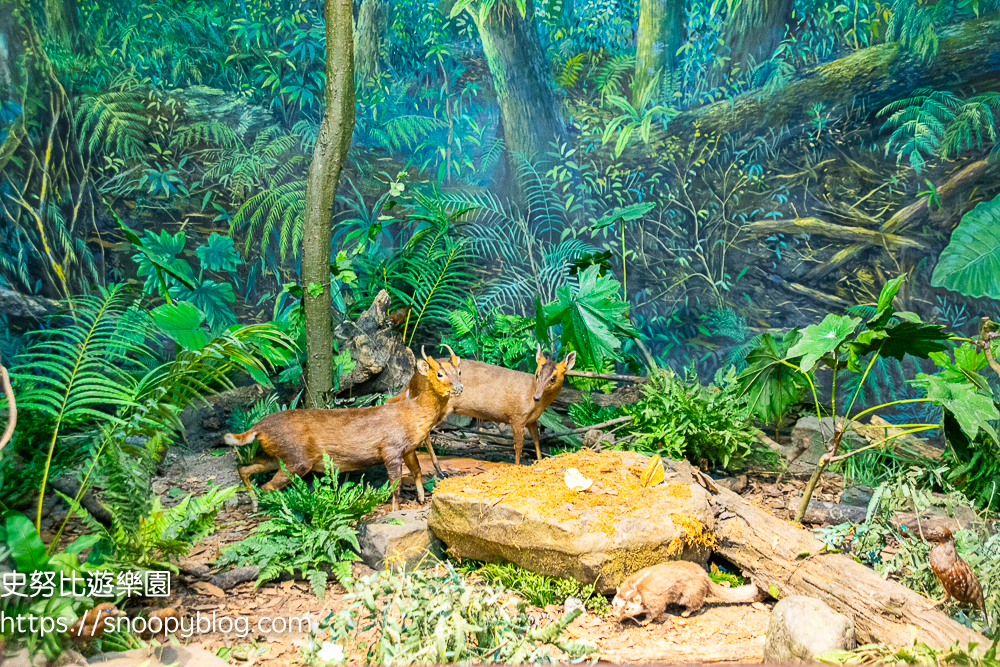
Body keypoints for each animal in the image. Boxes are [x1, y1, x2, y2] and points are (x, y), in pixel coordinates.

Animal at [225, 348, 462, 508]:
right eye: (439, 373)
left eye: (459, 371)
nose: (459, 387)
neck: (412, 415)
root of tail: (258, 427)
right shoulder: (390, 448)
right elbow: (395, 486)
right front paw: (396, 510)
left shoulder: (408, 448)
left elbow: (417, 471)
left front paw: (421, 499)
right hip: (296, 459)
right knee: (268, 486)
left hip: (279, 455)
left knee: (244, 467)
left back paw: (255, 503)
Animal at [390, 344, 580, 464]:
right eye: (537, 374)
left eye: (553, 378)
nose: (537, 397)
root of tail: (413, 380)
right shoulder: (516, 416)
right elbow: (518, 446)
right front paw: (518, 466)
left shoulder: (532, 420)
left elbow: (536, 441)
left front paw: (540, 461)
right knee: (424, 433)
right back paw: (437, 468)